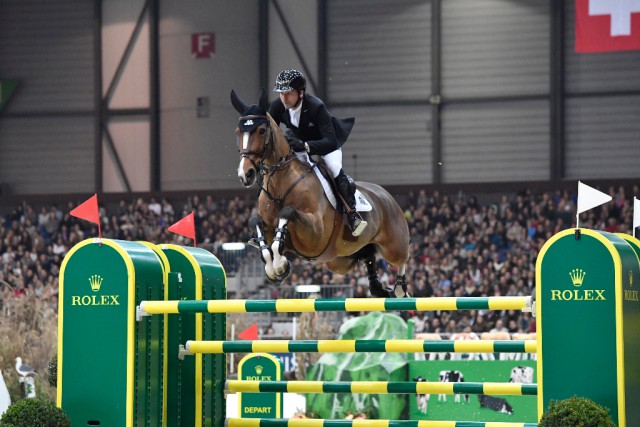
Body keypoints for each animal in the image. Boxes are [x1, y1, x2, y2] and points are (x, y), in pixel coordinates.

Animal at [230, 89, 410, 300]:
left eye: (261, 131)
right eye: (238, 132)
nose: (246, 174)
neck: (280, 184)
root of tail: (387, 196)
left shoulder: (315, 232)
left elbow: (288, 212)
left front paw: (280, 265)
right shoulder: (270, 228)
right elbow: (257, 225)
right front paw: (275, 269)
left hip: (393, 246)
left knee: (402, 258)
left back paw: (400, 287)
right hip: (339, 260)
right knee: (367, 255)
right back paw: (377, 287)